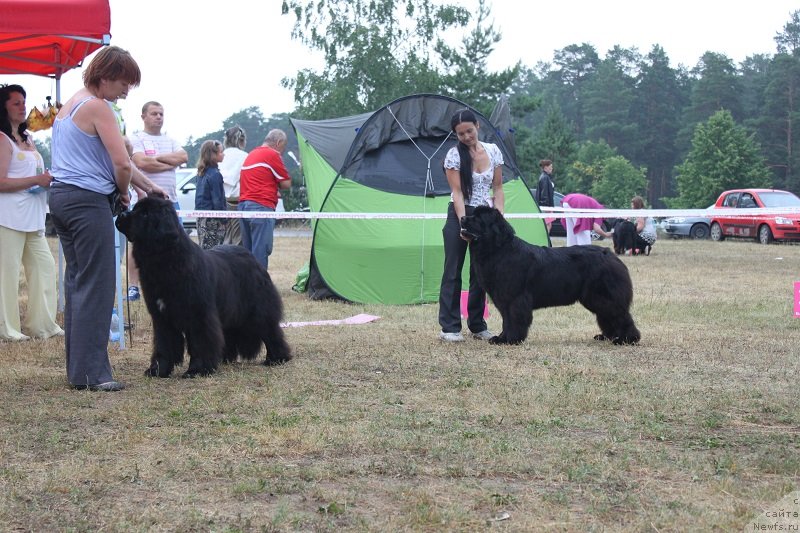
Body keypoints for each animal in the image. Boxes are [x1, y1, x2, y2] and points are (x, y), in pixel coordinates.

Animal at [117, 196, 292, 378]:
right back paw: (225, 358)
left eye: (145, 214)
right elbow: (164, 344)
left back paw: (277, 358)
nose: (121, 214)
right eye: (135, 209)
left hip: (258, 310)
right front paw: (158, 370)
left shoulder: (199, 315)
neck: (167, 260)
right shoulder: (161, 317)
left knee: (271, 330)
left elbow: (200, 342)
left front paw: (197, 370)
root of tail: (252, 258)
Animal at [460, 204, 640, 344]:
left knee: (620, 315)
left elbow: (513, 319)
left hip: (603, 296)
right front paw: (501, 338)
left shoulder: (515, 298)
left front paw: (511, 339)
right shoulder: (504, 300)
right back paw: (609, 337)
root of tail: (611, 255)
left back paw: (626, 339)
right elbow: (507, 319)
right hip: (595, 298)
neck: (499, 250)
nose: (462, 217)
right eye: (472, 215)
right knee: (608, 316)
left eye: (478, 219)